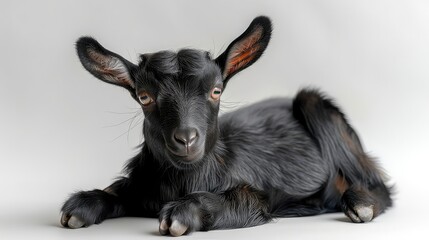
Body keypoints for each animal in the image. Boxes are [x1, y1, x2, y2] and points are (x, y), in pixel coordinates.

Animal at [60, 16, 392, 236]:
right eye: (144, 96)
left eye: (216, 90)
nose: (186, 138)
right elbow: (116, 190)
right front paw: (80, 206)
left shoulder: (254, 196)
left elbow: (240, 201)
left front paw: (182, 213)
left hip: (319, 110)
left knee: (376, 180)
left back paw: (359, 203)